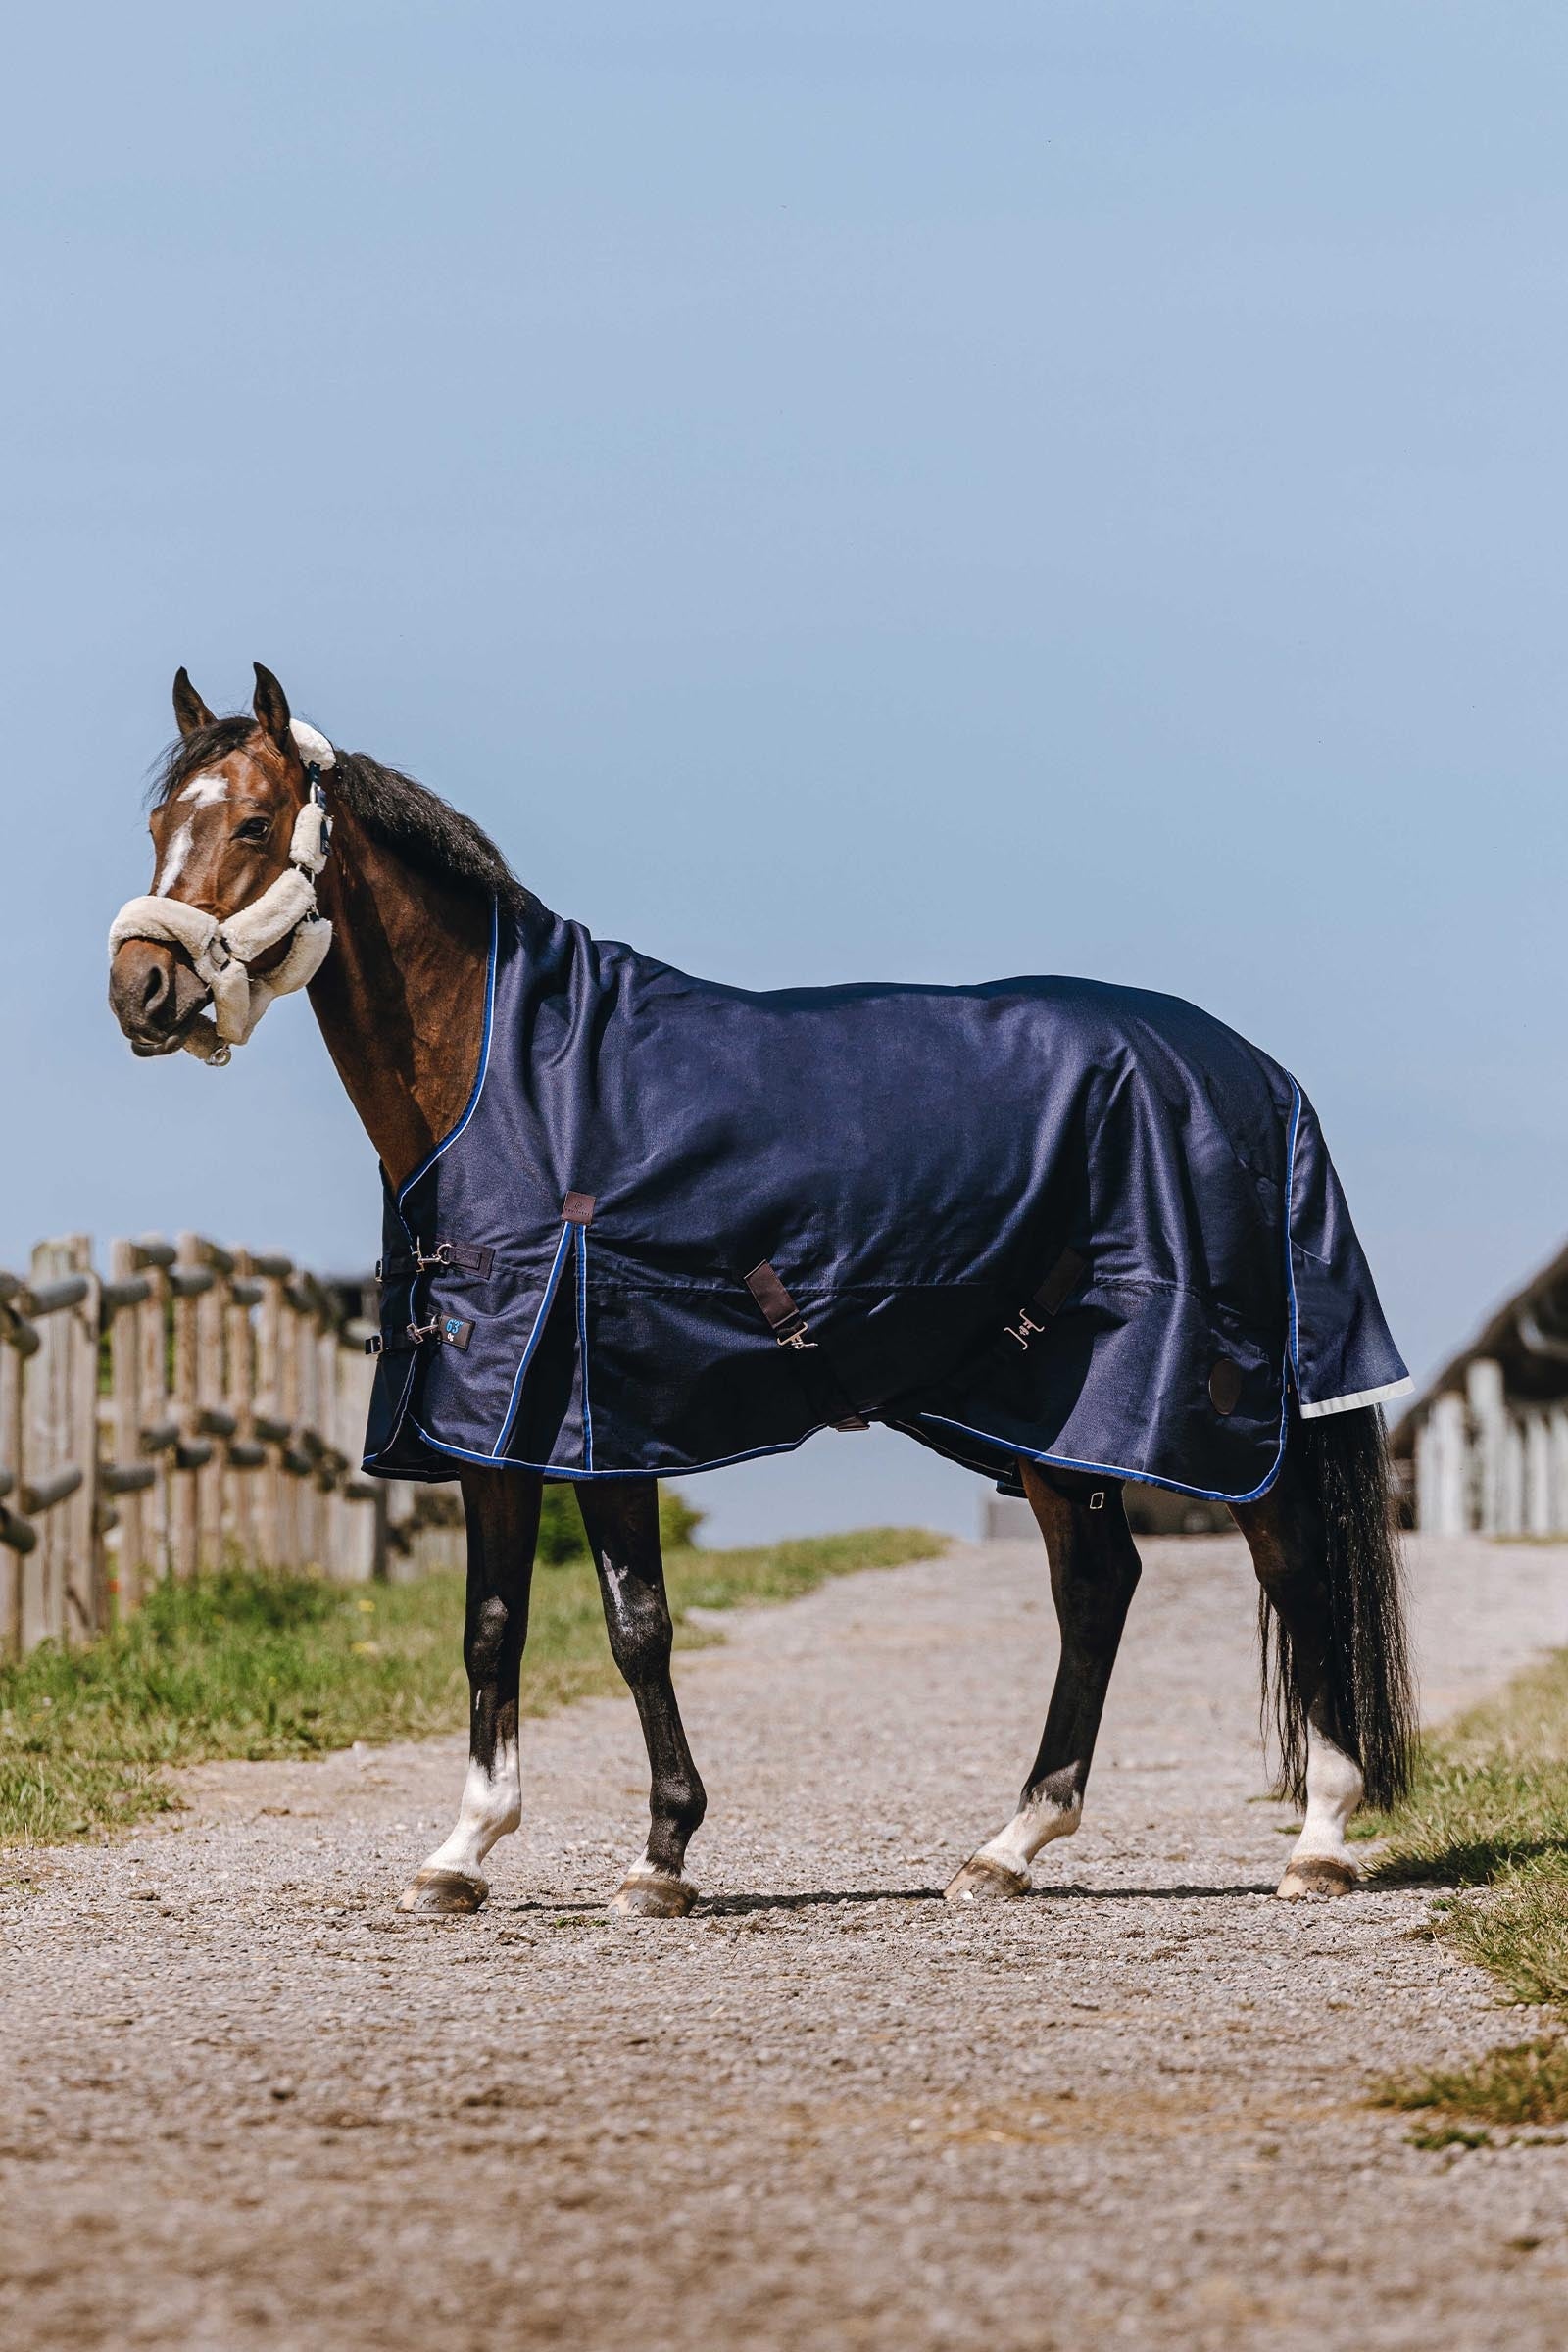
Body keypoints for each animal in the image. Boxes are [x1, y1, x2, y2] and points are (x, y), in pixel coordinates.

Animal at [108, 664, 1416, 1919]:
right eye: (161, 823)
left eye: (255, 822)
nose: (142, 991)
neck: (514, 1084)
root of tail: (1253, 1073)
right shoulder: (489, 1423)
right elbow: (490, 1628)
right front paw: (461, 1854)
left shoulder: (597, 1412)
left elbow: (637, 1630)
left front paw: (660, 1858)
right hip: (1049, 1406)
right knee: (1097, 1587)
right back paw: (1007, 1850)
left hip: (1214, 1405)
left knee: (1293, 1566)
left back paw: (1318, 1842)